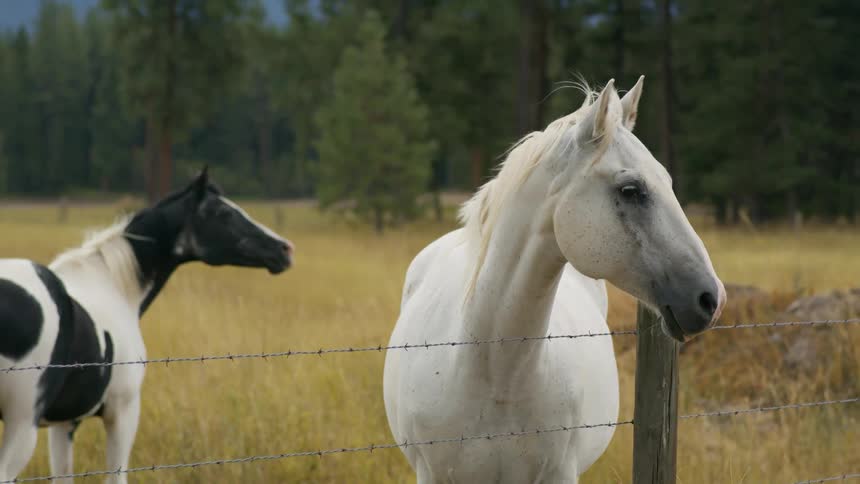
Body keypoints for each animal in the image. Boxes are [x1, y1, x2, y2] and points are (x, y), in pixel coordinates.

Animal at [0, 168, 292, 483]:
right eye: (222, 213)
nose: (284, 249)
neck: (113, 285)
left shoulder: (65, 423)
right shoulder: (123, 411)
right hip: (22, 423)